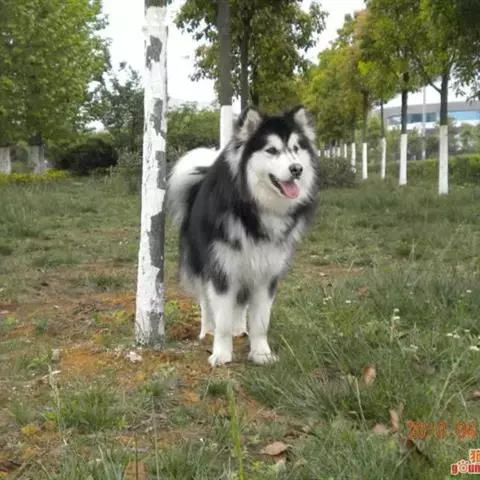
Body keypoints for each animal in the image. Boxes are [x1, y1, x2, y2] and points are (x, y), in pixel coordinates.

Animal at [167, 105, 319, 366]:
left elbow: (260, 322)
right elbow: (222, 319)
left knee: (239, 304)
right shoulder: (222, 270)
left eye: (296, 148)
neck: (253, 208)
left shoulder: (265, 273)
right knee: (206, 301)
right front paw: (221, 353)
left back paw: (240, 328)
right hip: (201, 263)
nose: (297, 169)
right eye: (271, 150)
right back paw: (207, 329)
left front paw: (261, 353)